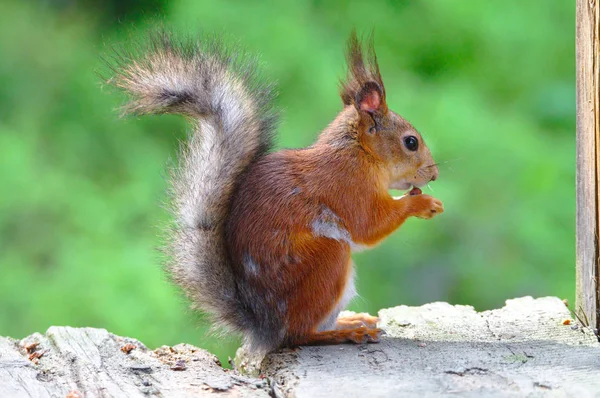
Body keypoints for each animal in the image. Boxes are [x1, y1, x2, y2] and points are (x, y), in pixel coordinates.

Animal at [106, 31, 440, 354]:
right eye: (411, 142)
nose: (434, 173)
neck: (358, 153)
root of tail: (264, 324)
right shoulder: (348, 186)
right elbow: (368, 226)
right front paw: (423, 203)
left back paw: (350, 320)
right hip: (325, 261)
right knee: (298, 335)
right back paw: (345, 333)